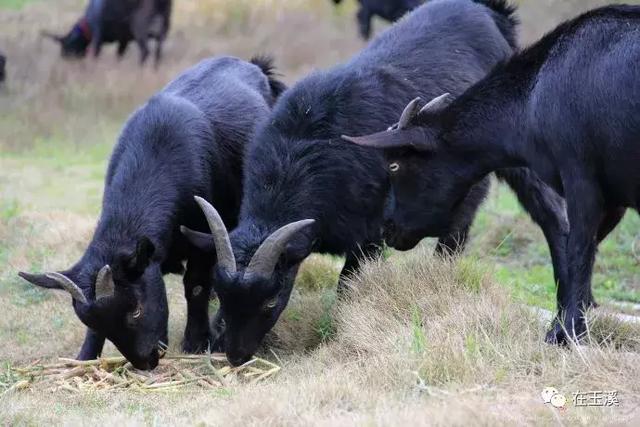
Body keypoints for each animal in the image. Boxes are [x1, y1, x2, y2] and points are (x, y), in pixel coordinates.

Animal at [18, 56, 284, 372]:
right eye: (97, 324)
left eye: (136, 310)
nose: (145, 361)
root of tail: (253, 65)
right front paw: (85, 357)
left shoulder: (202, 233)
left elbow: (195, 286)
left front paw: (196, 342)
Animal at [42, 0, 172, 66]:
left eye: (67, 47)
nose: (65, 60)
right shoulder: (123, 40)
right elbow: (119, 55)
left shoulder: (97, 36)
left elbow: (95, 56)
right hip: (164, 27)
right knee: (158, 54)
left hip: (140, 27)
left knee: (145, 51)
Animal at [344, 3, 640, 344]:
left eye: (395, 164)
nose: (387, 228)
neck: (530, 102)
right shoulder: (615, 196)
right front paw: (566, 321)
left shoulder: (581, 177)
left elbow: (578, 250)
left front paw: (566, 333)